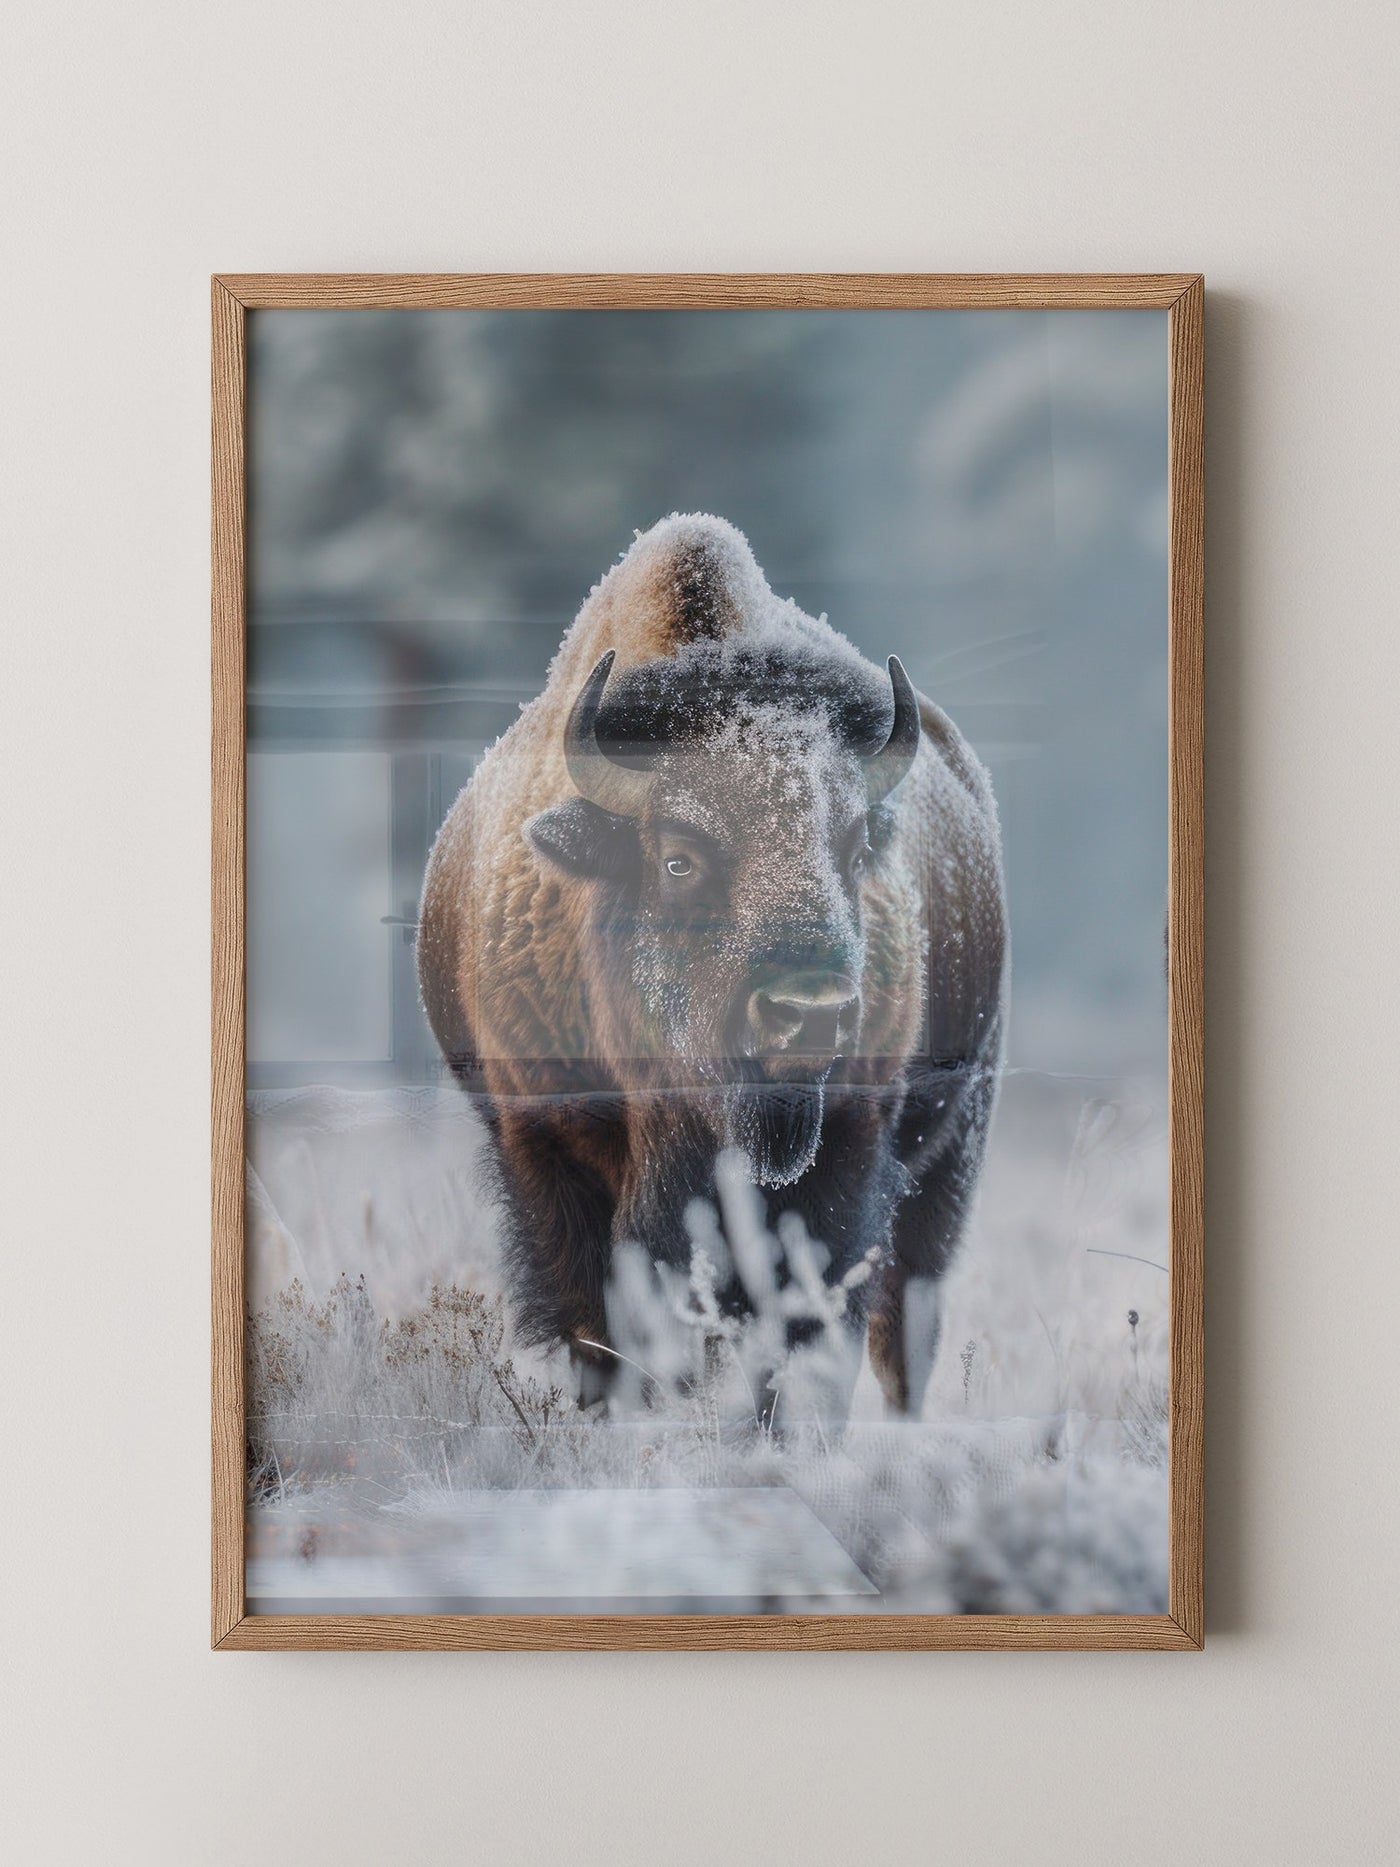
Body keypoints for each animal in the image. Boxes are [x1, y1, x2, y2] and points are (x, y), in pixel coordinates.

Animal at [418, 514, 1007, 1419]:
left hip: (953, 1146)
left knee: (904, 1327)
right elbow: (602, 1326)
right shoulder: (547, 1147)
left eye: (854, 849)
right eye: (679, 858)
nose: (811, 1013)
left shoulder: (848, 1146)